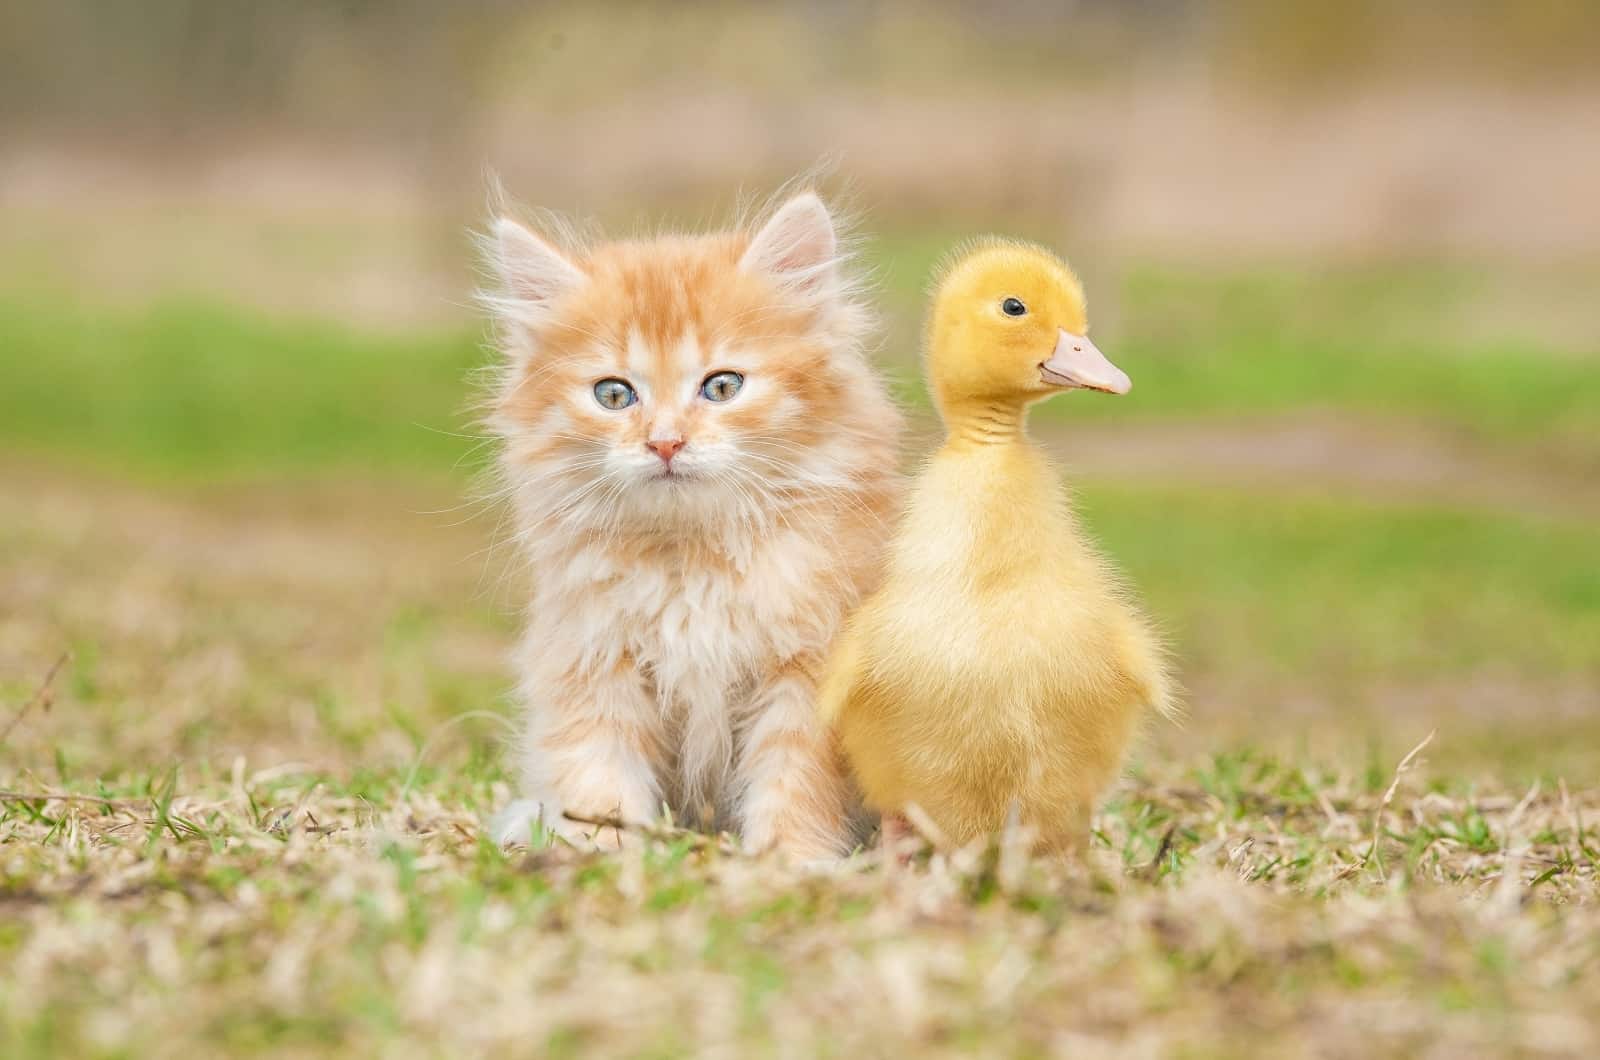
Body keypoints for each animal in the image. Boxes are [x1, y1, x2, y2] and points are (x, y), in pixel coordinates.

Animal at [483, 192, 902, 864]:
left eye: (722, 386)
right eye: (613, 395)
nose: (665, 442)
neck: (693, 555)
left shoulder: (809, 669)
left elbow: (795, 778)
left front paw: (791, 858)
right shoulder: (590, 659)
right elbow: (596, 768)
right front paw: (597, 849)